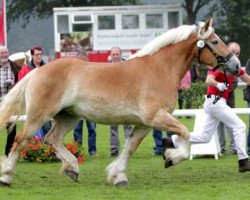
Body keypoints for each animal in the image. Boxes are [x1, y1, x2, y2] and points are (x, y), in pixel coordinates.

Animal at [0, 18, 240, 186]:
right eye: (215, 41)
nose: (236, 65)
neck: (160, 68)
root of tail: (38, 70)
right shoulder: (156, 117)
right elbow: (184, 135)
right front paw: (171, 157)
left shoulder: (144, 123)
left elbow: (130, 148)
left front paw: (117, 175)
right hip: (38, 116)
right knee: (21, 140)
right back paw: (7, 177)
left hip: (69, 116)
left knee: (52, 138)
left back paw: (72, 168)